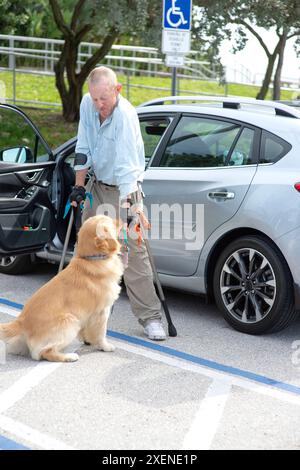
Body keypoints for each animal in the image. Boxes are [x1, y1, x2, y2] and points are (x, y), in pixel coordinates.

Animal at [0, 215, 123, 362]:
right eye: (109, 220)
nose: (122, 219)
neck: (92, 259)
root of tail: (21, 321)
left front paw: (86, 340)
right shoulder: (102, 311)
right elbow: (101, 333)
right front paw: (105, 346)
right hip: (70, 321)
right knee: (46, 352)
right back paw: (69, 356)